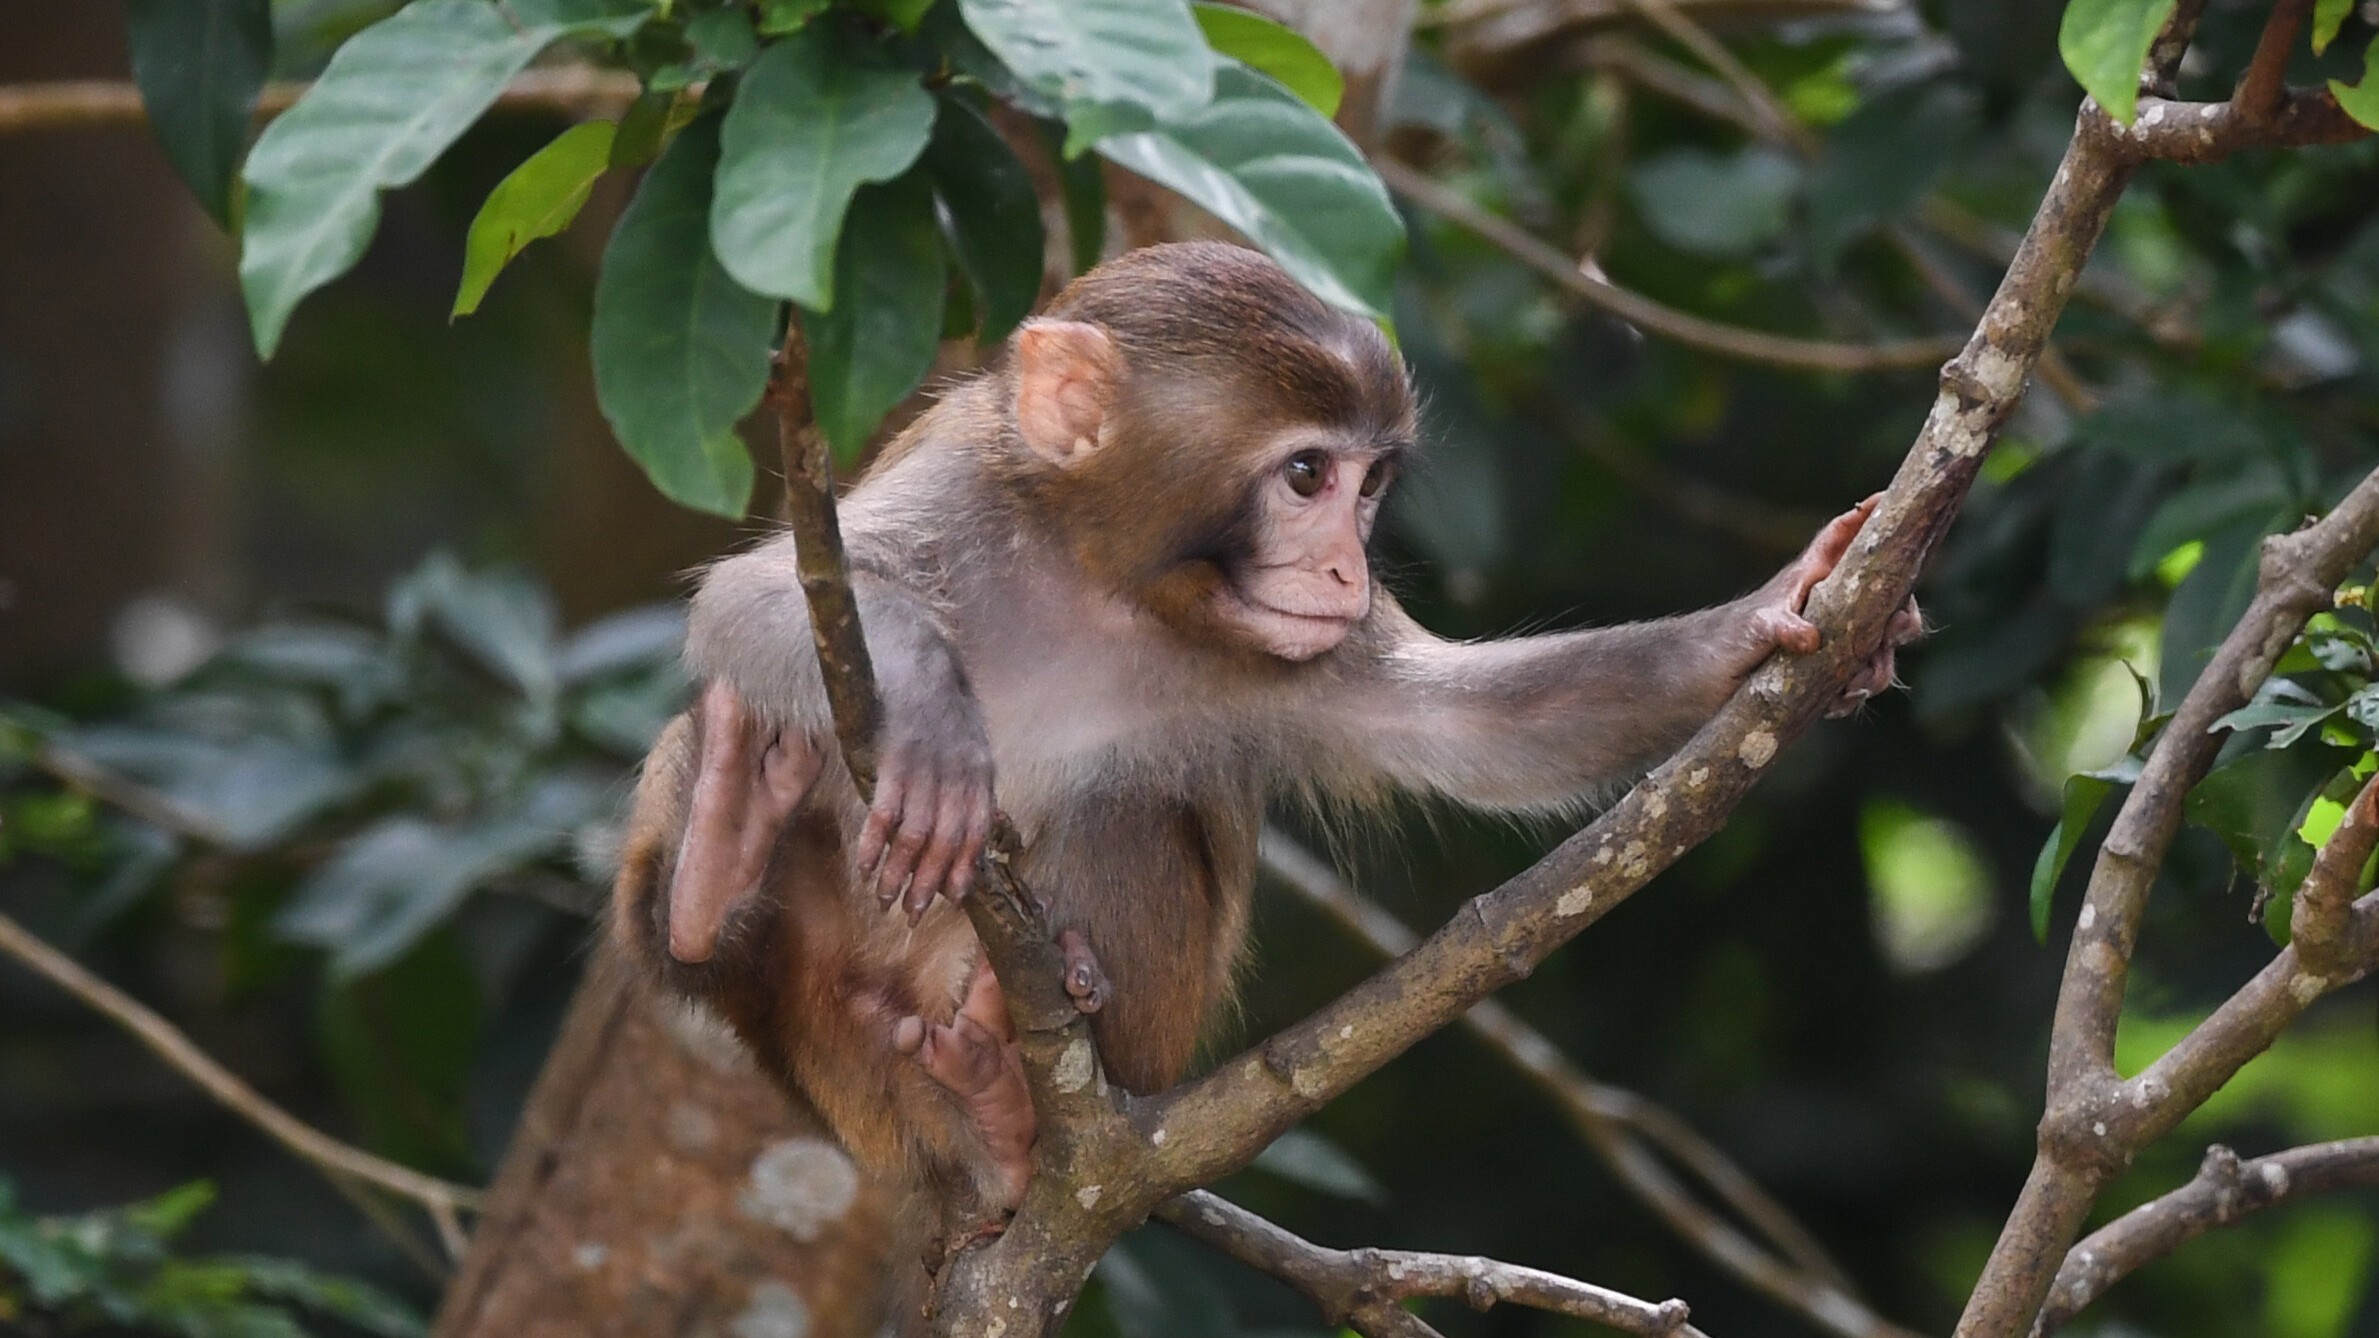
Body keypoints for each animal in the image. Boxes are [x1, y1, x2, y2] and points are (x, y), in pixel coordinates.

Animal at [609, 239, 1912, 1218]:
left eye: (1370, 484)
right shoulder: (958, 499)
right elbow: (755, 597)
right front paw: (933, 719)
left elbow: (1471, 727)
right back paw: (716, 863)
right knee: (724, 740)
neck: (1094, 579)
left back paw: (1005, 1093)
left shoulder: (1277, 654)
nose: (1346, 568)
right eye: (1304, 478)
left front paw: (1768, 615)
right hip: (810, 1029)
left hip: (1124, 1046)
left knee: (1126, 802)